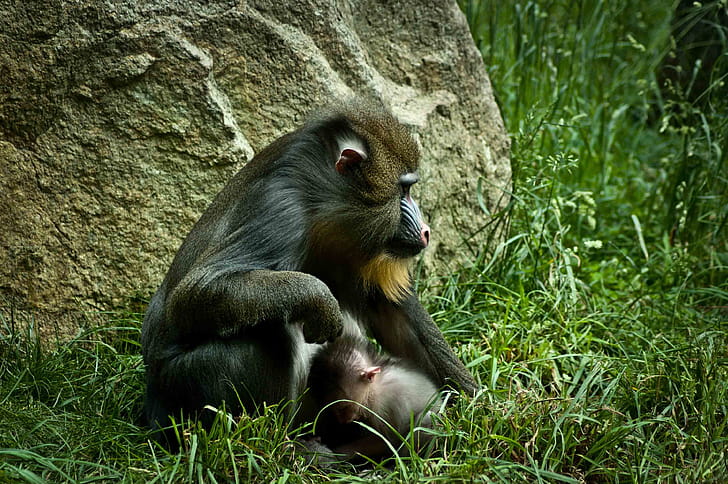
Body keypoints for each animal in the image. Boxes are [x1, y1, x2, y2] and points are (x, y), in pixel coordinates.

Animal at [140, 97, 477, 445]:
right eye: (403, 191)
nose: (425, 232)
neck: (321, 210)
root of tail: (155, 406)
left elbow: (398, 318)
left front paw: (478, 411)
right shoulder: (278, 210)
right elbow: (194, 293)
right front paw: (320, 301)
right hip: (190, 380)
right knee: (270, 329)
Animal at [306, 334, 441, 460]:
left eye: (343, 407)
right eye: (335, 410)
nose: (343, 420)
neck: (373, 390)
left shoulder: (386, 404)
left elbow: (388, 440)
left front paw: (336, 453)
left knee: (428, 417)